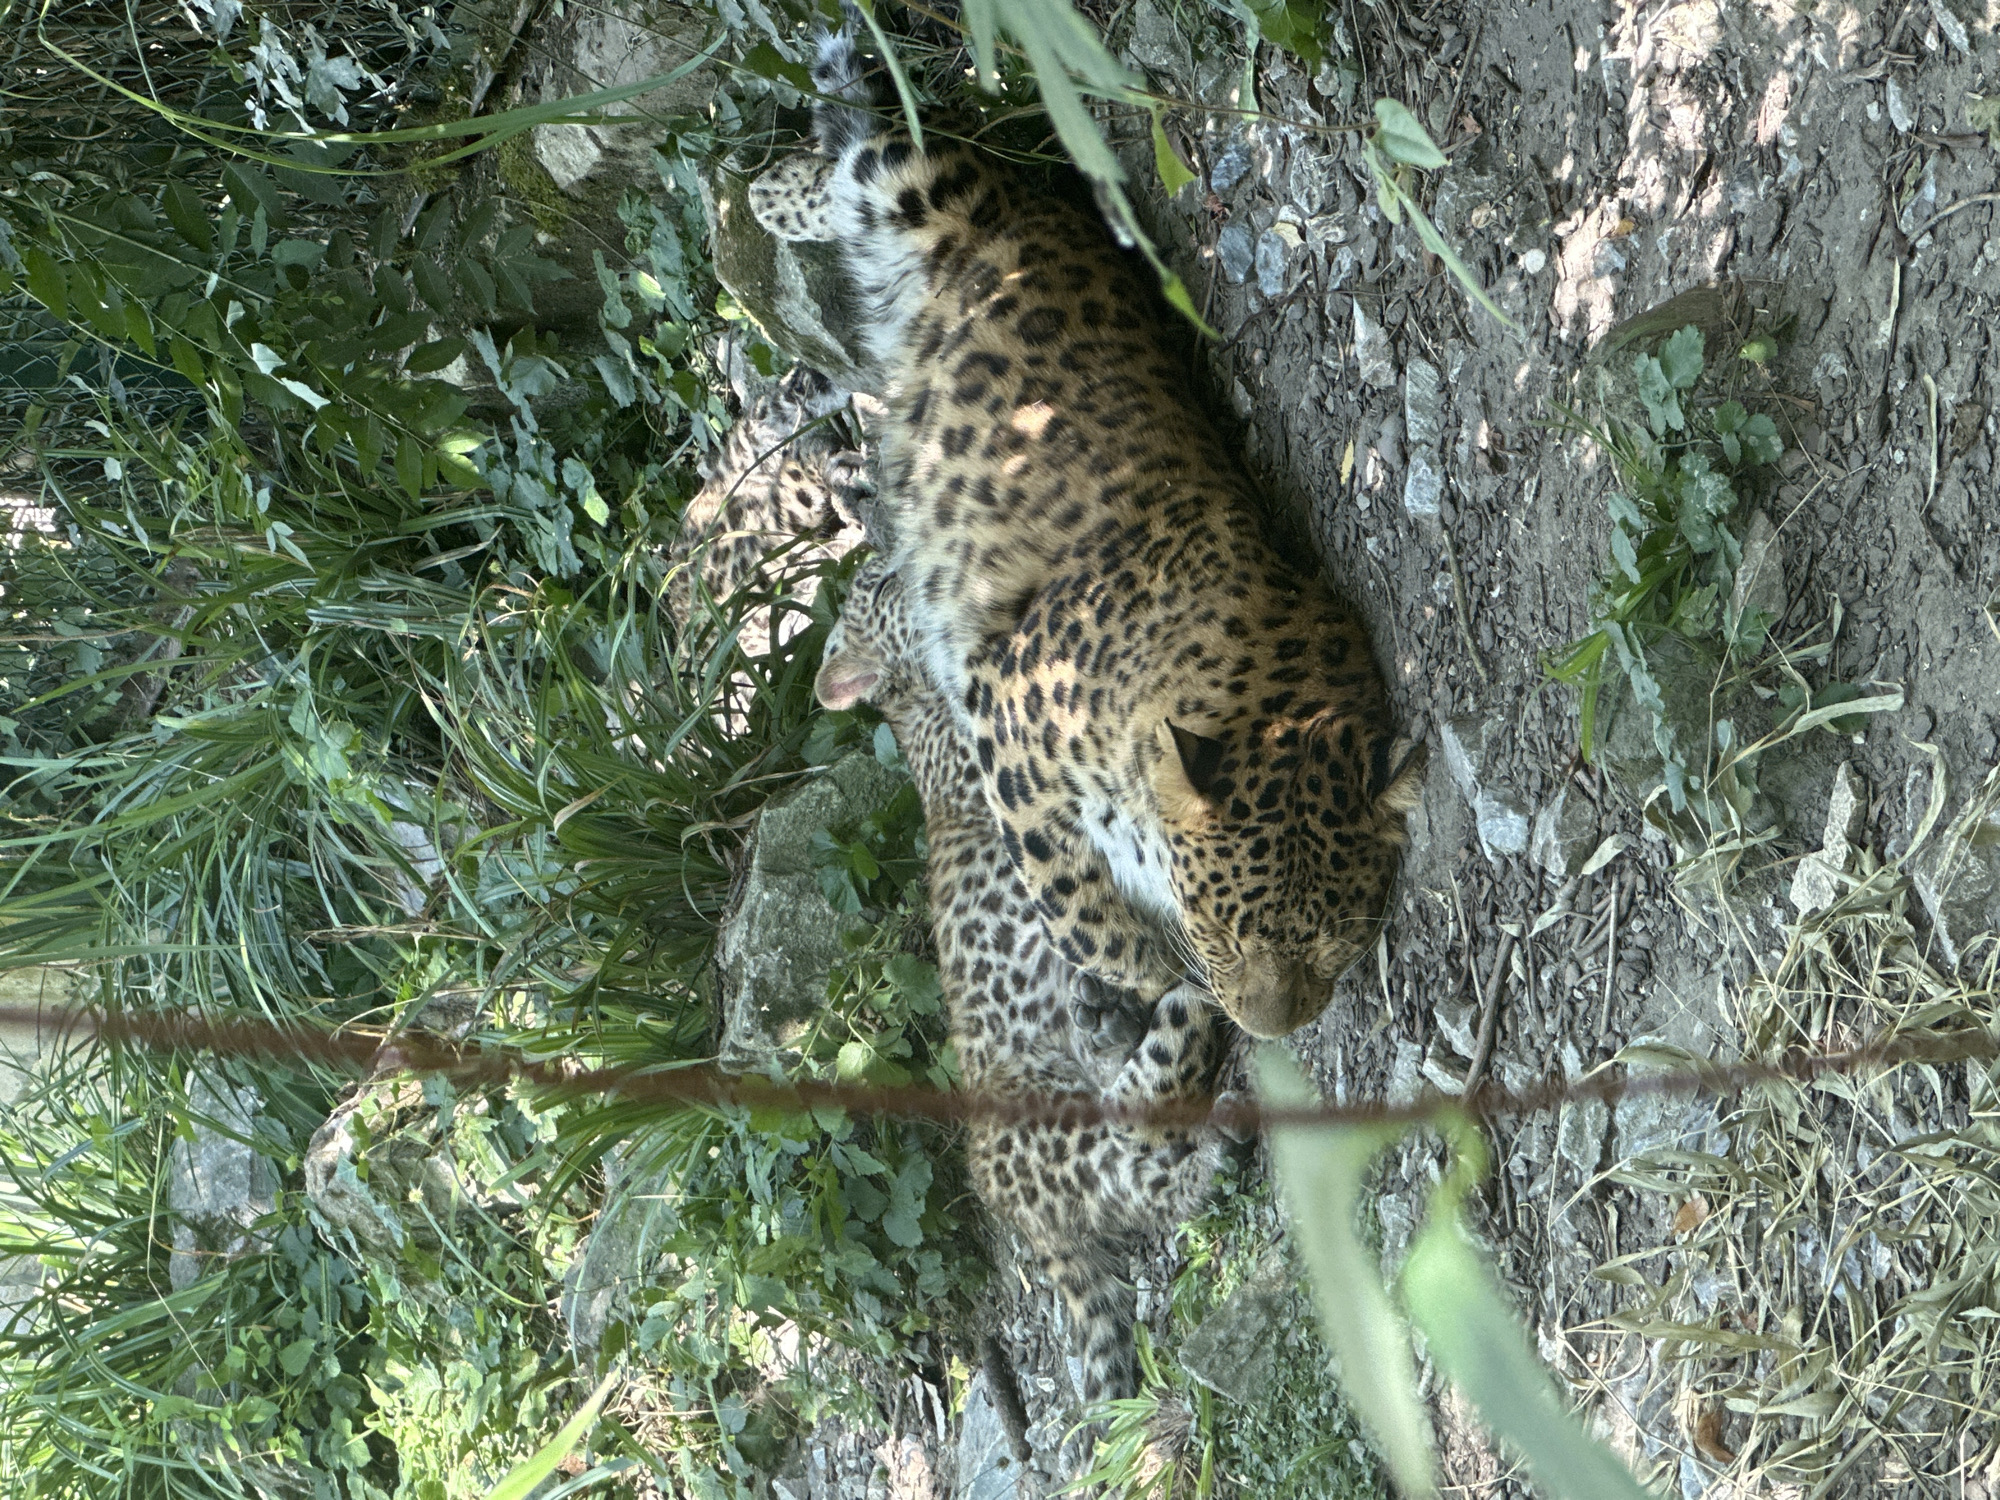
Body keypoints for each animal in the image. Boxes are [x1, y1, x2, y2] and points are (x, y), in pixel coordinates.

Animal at [751, 21, 1426, 1039]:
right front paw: (1144, 978)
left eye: (1336, 942)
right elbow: (1065, 897)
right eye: (1224, 932)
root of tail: (1028, 224)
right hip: (915, 185)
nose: (1272, 1029)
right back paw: (763, 188)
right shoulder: (1002, 709)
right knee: (882, 143)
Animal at [816, 555, 1229, 1410]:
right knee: (1143, 1129)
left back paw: (1108, 1014)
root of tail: (1010, 1207)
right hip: (1059, 1126)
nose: (893, 556)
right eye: (880, 591)